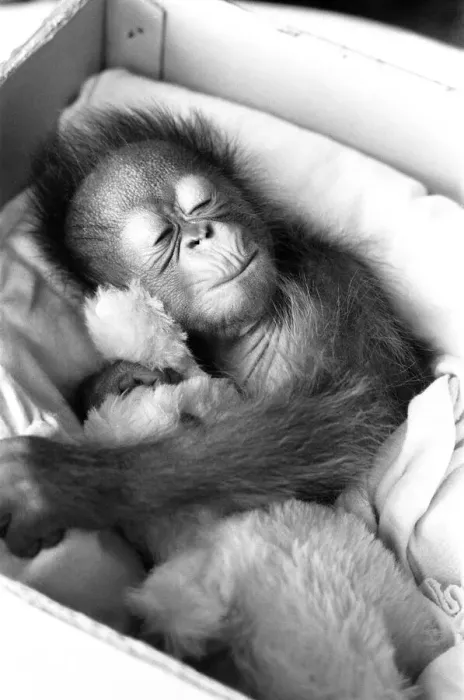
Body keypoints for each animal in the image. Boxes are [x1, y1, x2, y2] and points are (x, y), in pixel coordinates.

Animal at [0, 107, 432, 564]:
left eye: (202, 204)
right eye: (163, 238)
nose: (200, 235)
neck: (251, 325)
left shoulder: (336, 282)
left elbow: (347, 419)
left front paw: (58, 482)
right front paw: (113, 380)